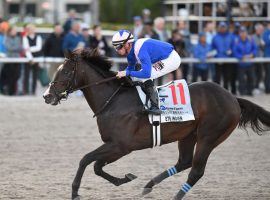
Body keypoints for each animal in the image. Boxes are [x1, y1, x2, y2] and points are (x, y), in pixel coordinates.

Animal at [42, 48, 270, 200]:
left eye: (64, 72)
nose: (46, 96)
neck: (113, 100)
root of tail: (233, 97)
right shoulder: (115, 146)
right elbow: (97, 166)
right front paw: (126, 178)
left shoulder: (121, 146)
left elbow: (86, 160)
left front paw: (75, 192)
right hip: (188, 135)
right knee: (184, 162)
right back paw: (149, 185)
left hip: (209, 137)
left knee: (196, 171)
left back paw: (175, 196)